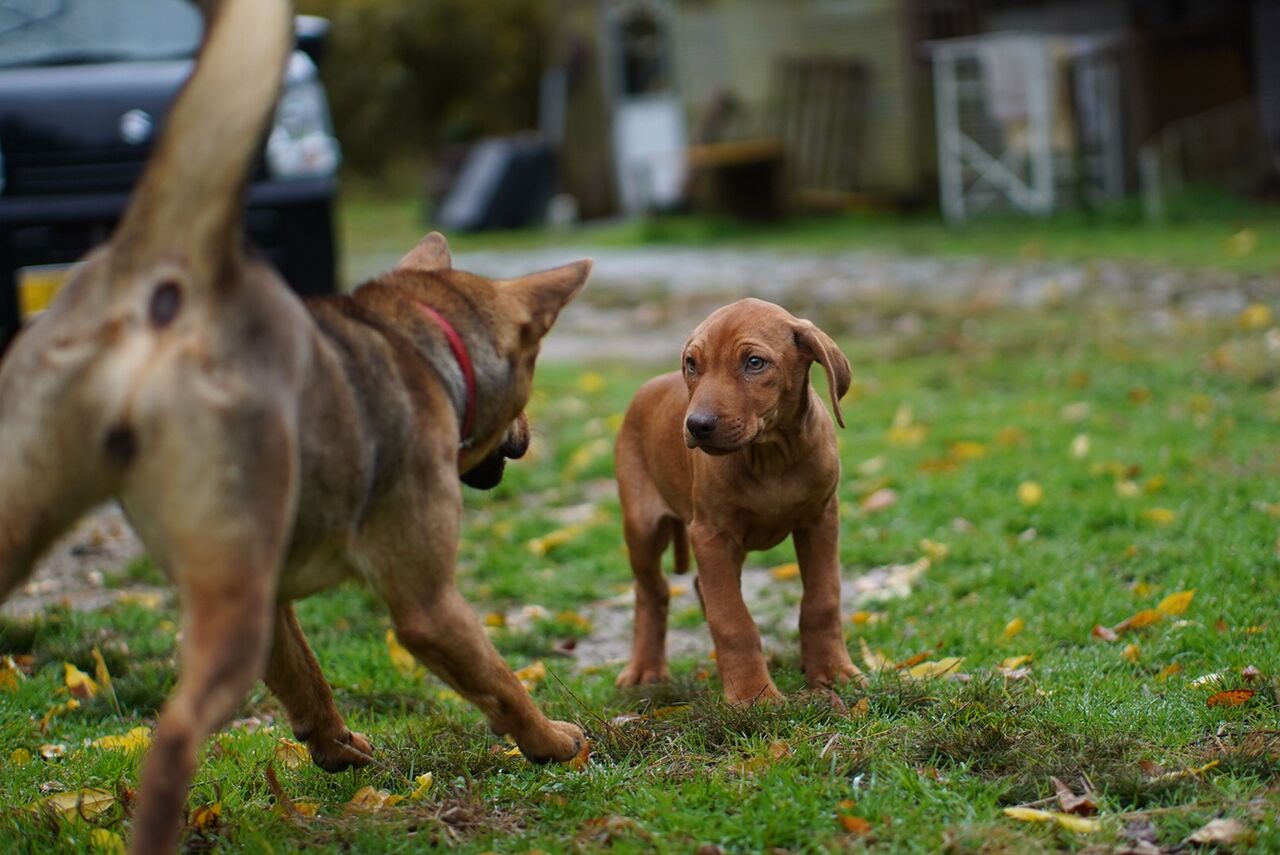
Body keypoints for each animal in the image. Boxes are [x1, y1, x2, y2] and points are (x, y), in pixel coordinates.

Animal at [0, 3, 586, 849]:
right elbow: (501, 679)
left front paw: (335, 748)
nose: (528, 436)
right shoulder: (428, 606)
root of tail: (169, 286)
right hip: (226, 615)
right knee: (173, 737)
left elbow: (306, 678)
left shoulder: (272, 595)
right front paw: (551, 742)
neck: (420, 341)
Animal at [611, 299, 860, 701]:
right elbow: (731, 619)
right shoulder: (710, 534)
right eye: (692, 364)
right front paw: (751, 695)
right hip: (642, 525)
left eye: (754, 363)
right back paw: (645, 669)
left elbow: (823, 600)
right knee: (652, 591)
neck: (770, 456)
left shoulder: (820, 519)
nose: (697, 425)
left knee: (697, 587)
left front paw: (832, 672)